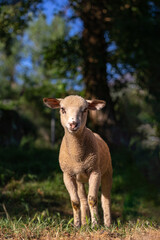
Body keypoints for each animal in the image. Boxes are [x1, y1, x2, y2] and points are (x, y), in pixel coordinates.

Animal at [43, 95, 112, 227]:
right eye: (62, 109)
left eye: (85, 110)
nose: (73, 124)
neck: (77, 156)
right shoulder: (67, 174)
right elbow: (75, 201)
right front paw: (76, 225)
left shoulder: (95, 171)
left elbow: (93, 199)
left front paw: (95, 225)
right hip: (80, 179)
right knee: (83, 199)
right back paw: (84, 224)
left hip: (107, 172)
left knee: (105, 199)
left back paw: (107, 225)